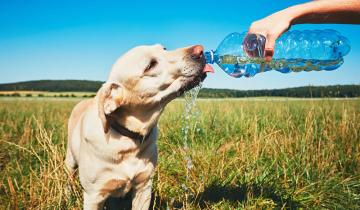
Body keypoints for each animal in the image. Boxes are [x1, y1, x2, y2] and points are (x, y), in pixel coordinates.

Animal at [64, 44, 212, 208]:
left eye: (164, 48)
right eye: (150, 65)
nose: (200, 50)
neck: (128, 139)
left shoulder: (144, 187)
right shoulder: (93, 195)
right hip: (70, 161)